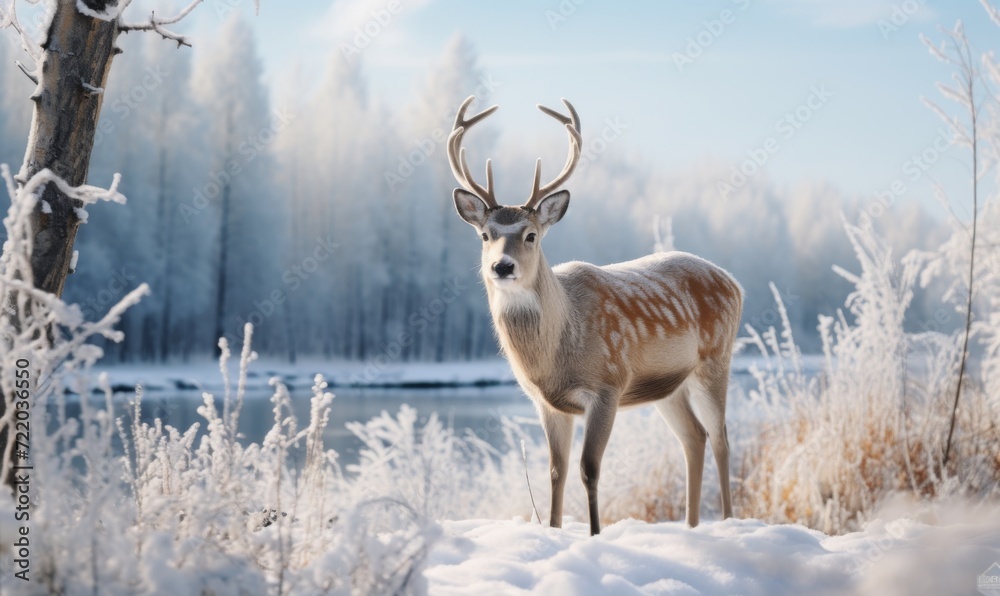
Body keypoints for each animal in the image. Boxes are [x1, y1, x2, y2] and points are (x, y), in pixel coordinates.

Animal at [447, 96, 743, 536]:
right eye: (485, 235)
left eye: (531, 235)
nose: (502, 266)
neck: (556, 352)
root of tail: (735, 283)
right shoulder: (547, 402)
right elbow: (557, 471)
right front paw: (554, 531)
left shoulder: (608, 385)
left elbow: (589, 468)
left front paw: (595, 534)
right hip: (670, 385)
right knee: (694, 437)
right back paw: (692, 527)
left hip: (716, 359)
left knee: (721, 436)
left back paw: (727, 522)